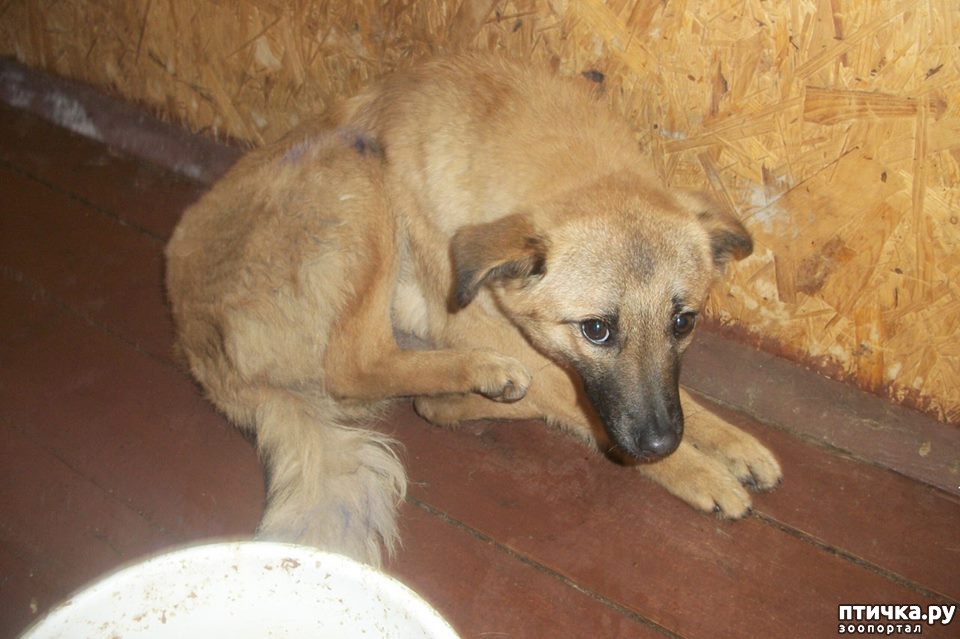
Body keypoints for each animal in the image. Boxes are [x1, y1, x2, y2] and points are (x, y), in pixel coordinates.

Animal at [165, 54, 782, 566]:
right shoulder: (484, 324)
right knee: (357, 365)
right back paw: (479, 377)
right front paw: (697, 471)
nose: (660, 444)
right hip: (360, 172)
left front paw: (732, 442)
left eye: (683, 323)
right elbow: (579, 398)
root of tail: (200, 346)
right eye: (597, 330)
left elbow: (678, 398)